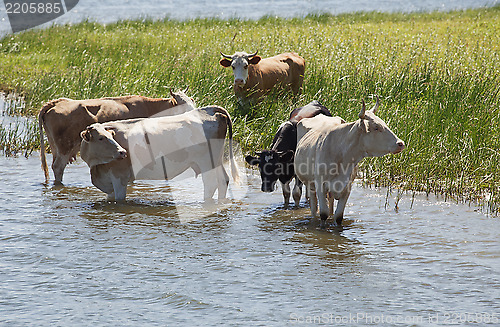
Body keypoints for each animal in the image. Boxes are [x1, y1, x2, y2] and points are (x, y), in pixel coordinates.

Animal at [80, 105, 240, 202]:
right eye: (101, 138)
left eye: (110, 136)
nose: (122, 152)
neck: (97, 168)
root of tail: (209, 110)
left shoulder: (120, 177)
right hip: (217, 160)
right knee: (223, 181)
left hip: (206, 162)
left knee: (211, 184)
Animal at [292, 97, 406, 229]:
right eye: (376, 127)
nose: (400, 143)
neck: (342, 157)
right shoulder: (320, 185)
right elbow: (323, 214)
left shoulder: (347, 187)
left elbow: (338, 216)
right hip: (310, 184)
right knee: (314, 208)